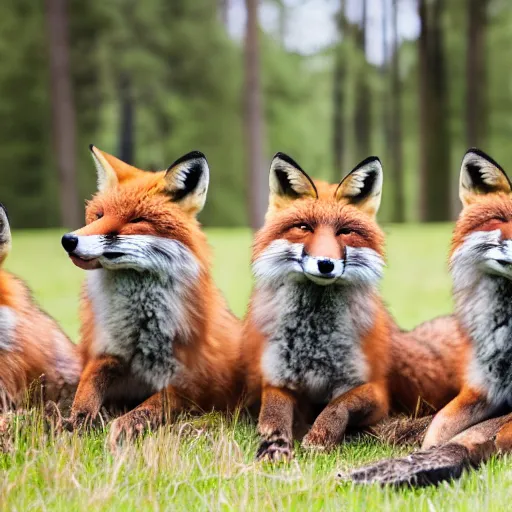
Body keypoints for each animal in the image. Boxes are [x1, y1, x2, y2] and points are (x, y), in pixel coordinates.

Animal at [60, 146, 242, 446]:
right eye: (98, 215)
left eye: (136, 220)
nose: (68, 240)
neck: (139, 325)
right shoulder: (108, 352)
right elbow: (86, 388)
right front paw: (77, 422)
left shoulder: (189, 384)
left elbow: (147, 408)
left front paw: (119, 430)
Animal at [242, 152, 398, 460]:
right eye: (304, 227)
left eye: (345, 232)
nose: (325, 264)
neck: (314, 340)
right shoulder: (277, 378)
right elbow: (274, 410)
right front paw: (274, 441)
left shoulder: (377, 393)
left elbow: (339, 405)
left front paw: (320, 436)